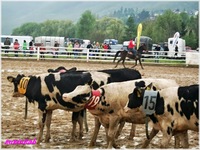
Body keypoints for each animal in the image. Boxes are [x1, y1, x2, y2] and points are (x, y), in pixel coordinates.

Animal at [7, 67, 142, 144]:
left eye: (15, 82)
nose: (13, 93)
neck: (37, 84)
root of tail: (134, 72)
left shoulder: (42, 106)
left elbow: (41, 124)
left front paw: (39, 141)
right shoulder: (49, 108)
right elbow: (49, 123)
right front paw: (47, 138)